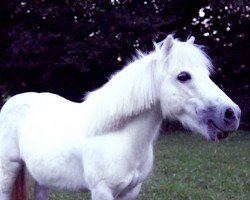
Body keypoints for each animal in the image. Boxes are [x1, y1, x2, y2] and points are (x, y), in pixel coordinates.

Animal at [0, 35, 240, 199]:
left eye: (207, 75)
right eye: (183, 76)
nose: (232, 114)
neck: (120, 137)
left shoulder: (131, 191)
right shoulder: (102, 191)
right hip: (8, 169)